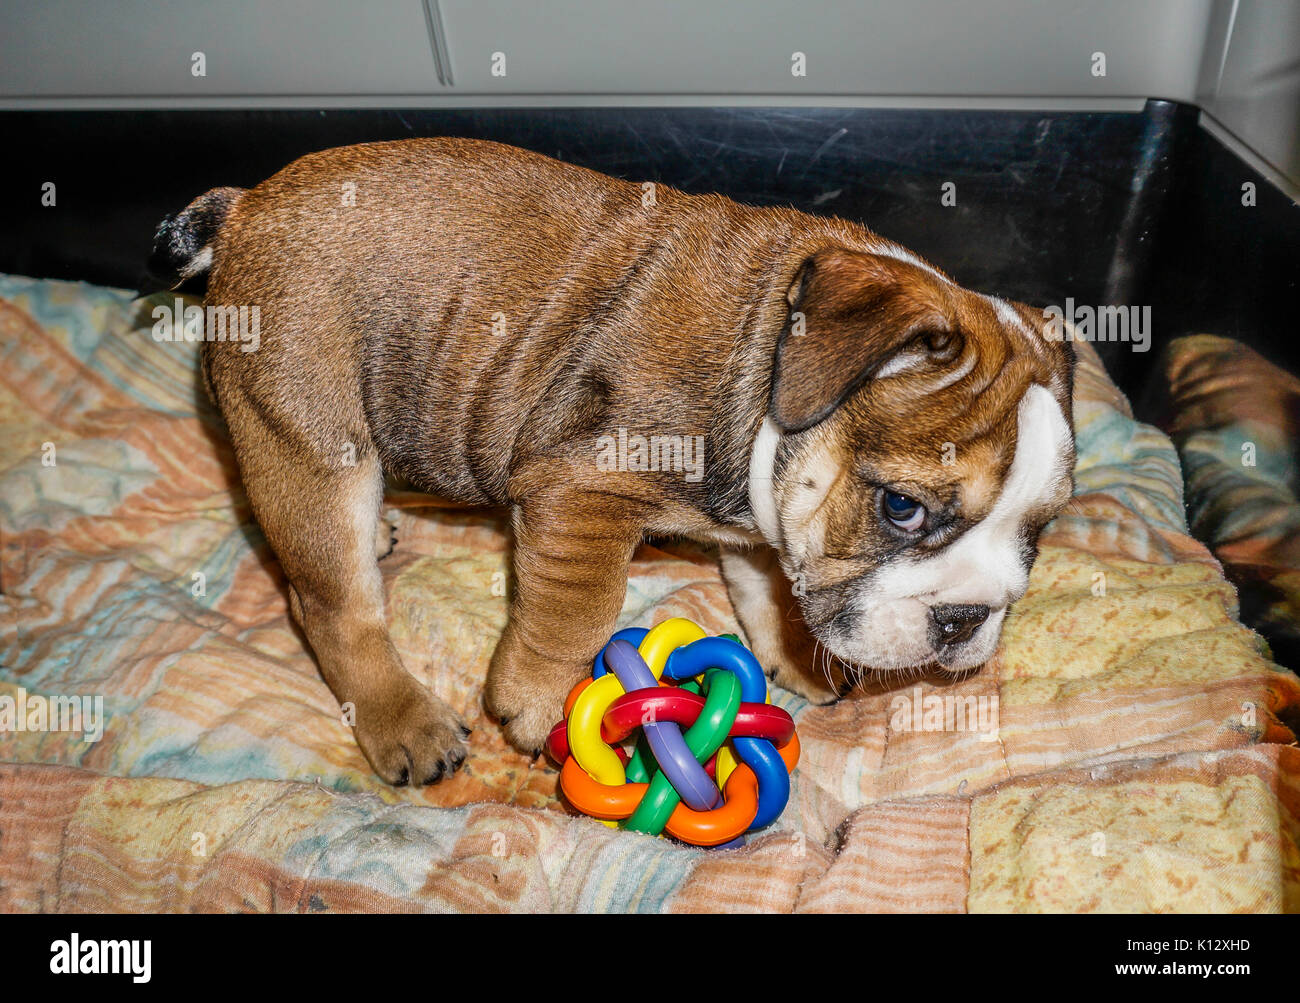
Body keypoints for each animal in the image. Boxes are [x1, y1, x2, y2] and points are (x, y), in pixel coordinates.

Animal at [147, 137, 1076, 789]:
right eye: (902, 508)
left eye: (1039, 533)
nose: (968, 617)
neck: (773, 360)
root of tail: (245, 206)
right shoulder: (579, 488)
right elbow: (579, 606)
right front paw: (538, 699)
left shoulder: (757, 521)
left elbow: (768, 585)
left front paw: (791, 654)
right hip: (307, 440)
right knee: (334, 607)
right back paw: (404, 721)